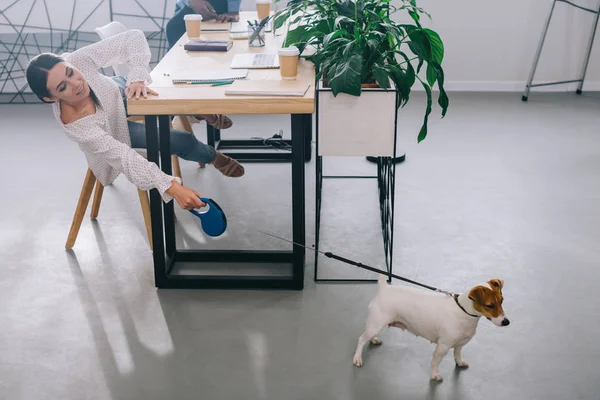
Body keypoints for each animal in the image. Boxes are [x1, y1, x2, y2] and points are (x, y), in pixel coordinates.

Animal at [354, 276, 508, 382]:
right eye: (489, 305)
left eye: (502, 301)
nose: (506, 322)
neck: (463, 310)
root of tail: (385, 288)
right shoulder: (443, 346)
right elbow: (435, 362)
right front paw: (434, 375)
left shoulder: (460, 344)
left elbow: (457, 354)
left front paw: (459, 362)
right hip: (376, 324)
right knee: (361, 339)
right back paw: (357, 358)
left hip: (376, 325)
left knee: (368, 336)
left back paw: (374, 340)